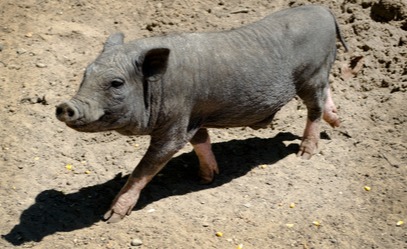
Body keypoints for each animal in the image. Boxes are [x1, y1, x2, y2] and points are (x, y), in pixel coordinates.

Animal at [55, 4, 348, 223]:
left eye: (116, 83)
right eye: (85, 74)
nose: (64, 106)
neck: (159, 86)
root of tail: (323, 10)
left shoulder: (176, 121)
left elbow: (147, 165)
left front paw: (110, 217)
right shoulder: (195, 116)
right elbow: (201, 140)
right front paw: (206, 177)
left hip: (311, 74)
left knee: (314, 108)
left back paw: (305, 153)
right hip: (319, 74)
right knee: (326, 96)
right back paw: (338, 124)